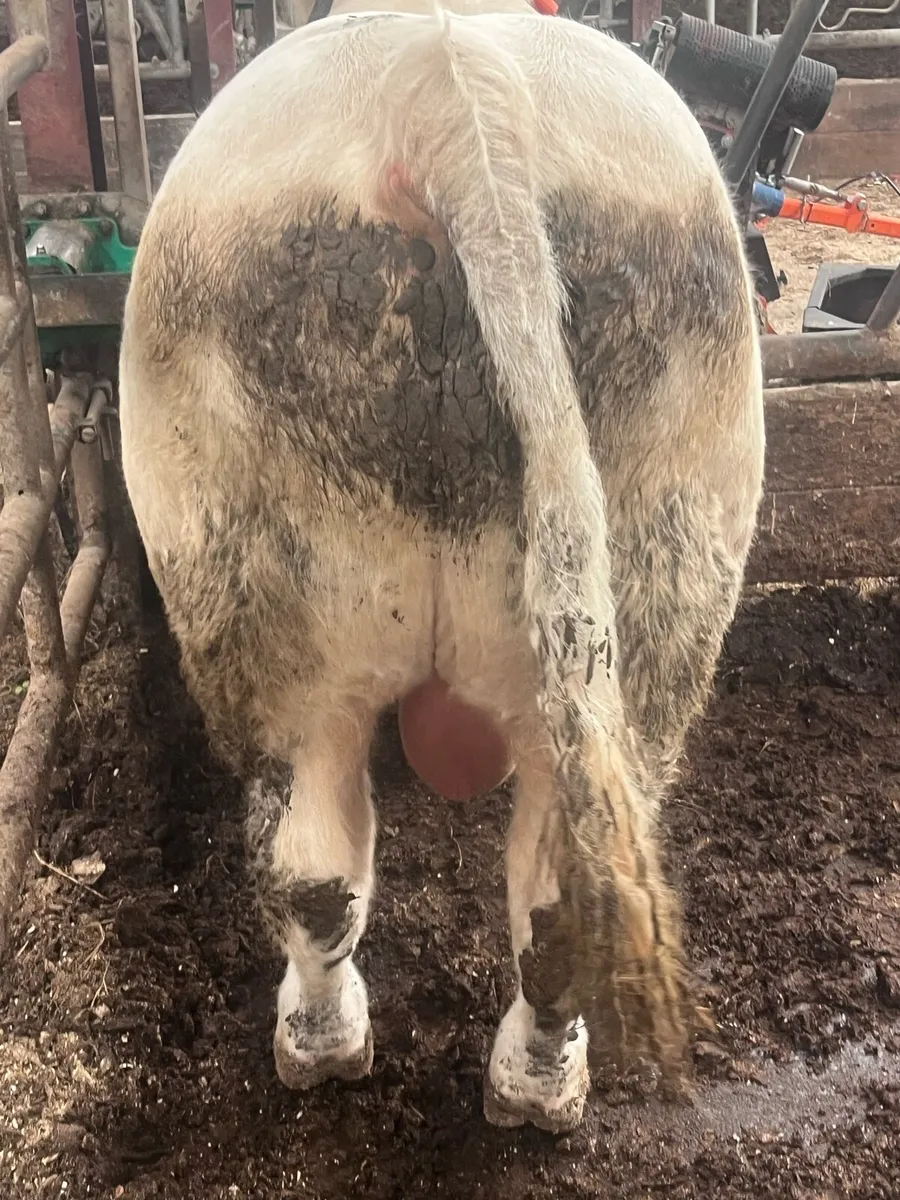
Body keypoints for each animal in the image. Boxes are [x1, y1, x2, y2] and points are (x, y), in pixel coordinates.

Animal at [119, 0, 764, 1134]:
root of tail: (446, 73)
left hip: (255, 606)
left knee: (310, 855)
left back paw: (322, 1048)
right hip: (666, 575)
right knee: (538, 895)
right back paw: (535, 1088)